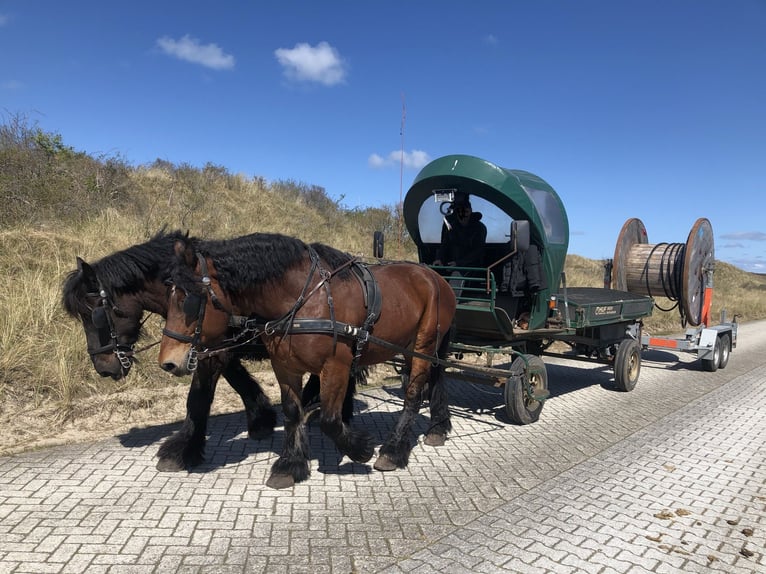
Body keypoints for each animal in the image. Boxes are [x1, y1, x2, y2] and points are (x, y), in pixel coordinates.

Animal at [60, 230, 360, 472]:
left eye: (95, 314)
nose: (104, 368)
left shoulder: (213, 352)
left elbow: (198, 398)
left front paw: (181, 450)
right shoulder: (211, 348)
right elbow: (238, 380)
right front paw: (261, 419)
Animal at [158, 234, 456, 490]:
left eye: (189, 299)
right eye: (168, 295)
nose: (167, 363)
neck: (305, 299)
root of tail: (436, 278)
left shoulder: (335, 367)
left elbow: (330, 420)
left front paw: (360, 449)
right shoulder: (284, 366)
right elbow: (292, 412)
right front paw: (290, 465)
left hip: (423, 343)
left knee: (413, 394)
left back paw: (393, 451)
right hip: (416, 349)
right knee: (435, 380)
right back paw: (438, 428)